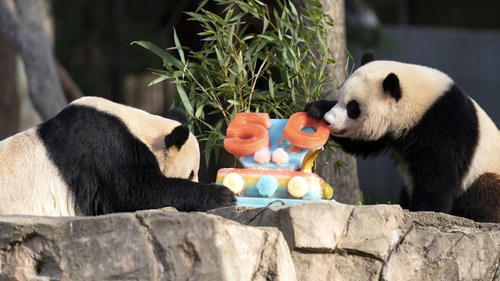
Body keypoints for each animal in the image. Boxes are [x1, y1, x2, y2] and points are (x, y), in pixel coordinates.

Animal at [304, 49, 500, 221]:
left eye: (353, 107)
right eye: (340, 99)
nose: (329, 121)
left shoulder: (444, 125)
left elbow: (438, 175)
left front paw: (425, 210)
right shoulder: (389, 132)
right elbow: (362, 143)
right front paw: (316, 109)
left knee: (487, 192)